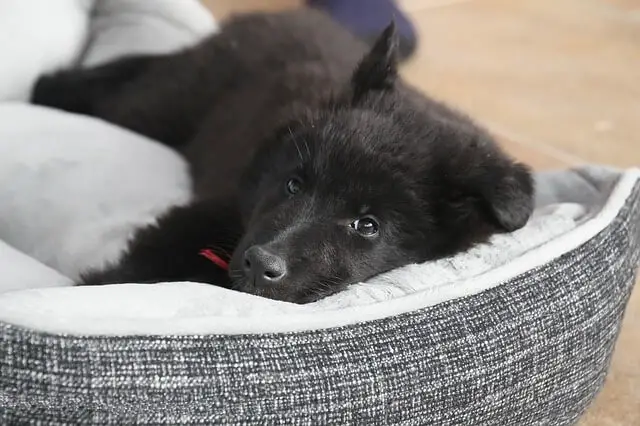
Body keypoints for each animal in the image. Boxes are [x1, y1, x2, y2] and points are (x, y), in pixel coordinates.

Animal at [32, 10, 532, 302]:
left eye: (367, 226)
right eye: (293, 184)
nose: (260, 264)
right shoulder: (212, 212)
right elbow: (146, 262)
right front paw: (90, 289)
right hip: (162, 106)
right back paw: (47, 88)